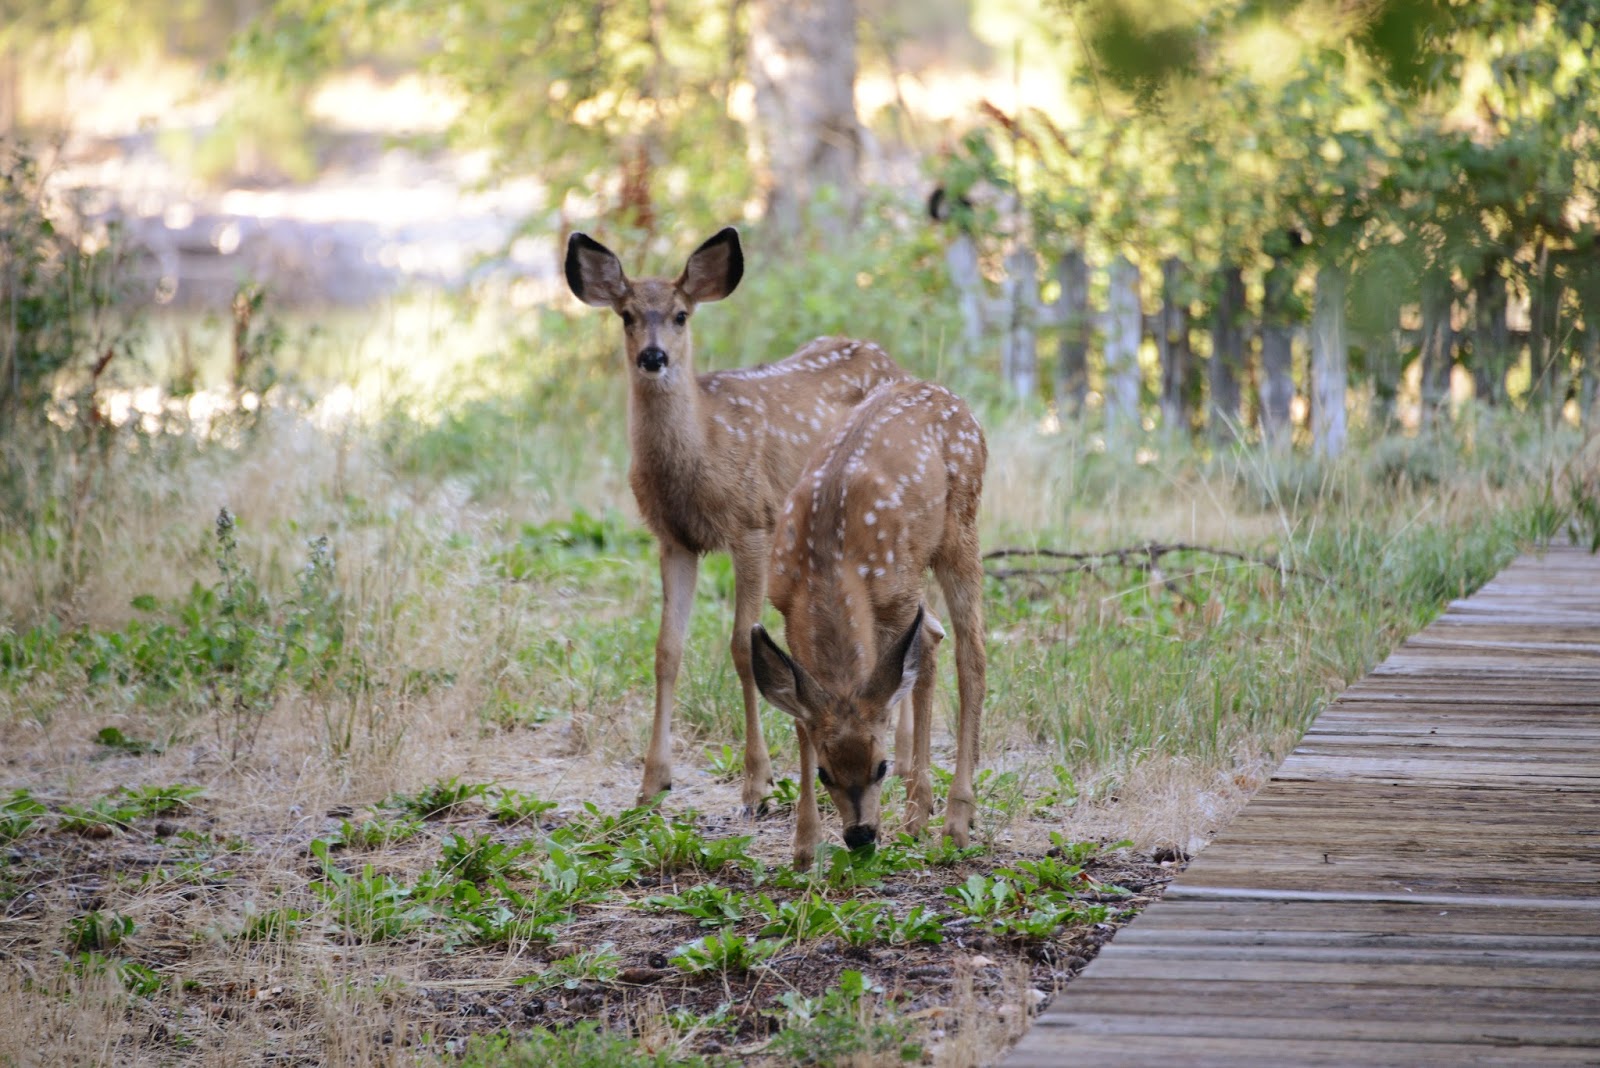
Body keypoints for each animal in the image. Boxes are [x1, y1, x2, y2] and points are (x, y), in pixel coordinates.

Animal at [563, 227, 908, 814]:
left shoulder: (753, 525)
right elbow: (666, 649)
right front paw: (652, 783)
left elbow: (742, 649)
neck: (701, 449)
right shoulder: (673, 539)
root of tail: (889, 358)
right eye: (626, 315)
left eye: (680, 314)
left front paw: (757, 784)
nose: (653, 356)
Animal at [750, 378, 987, 868]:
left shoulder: (899, 595)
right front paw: (804, 847)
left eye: (881, 766)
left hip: (960, 529)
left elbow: (921, 670)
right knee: (939, 637)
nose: (861, 835)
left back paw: (953, 821)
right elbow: (801, 722)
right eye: (824, 773)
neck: (828, 564)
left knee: (968, 652)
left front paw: (918, 817)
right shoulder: (786, 611)